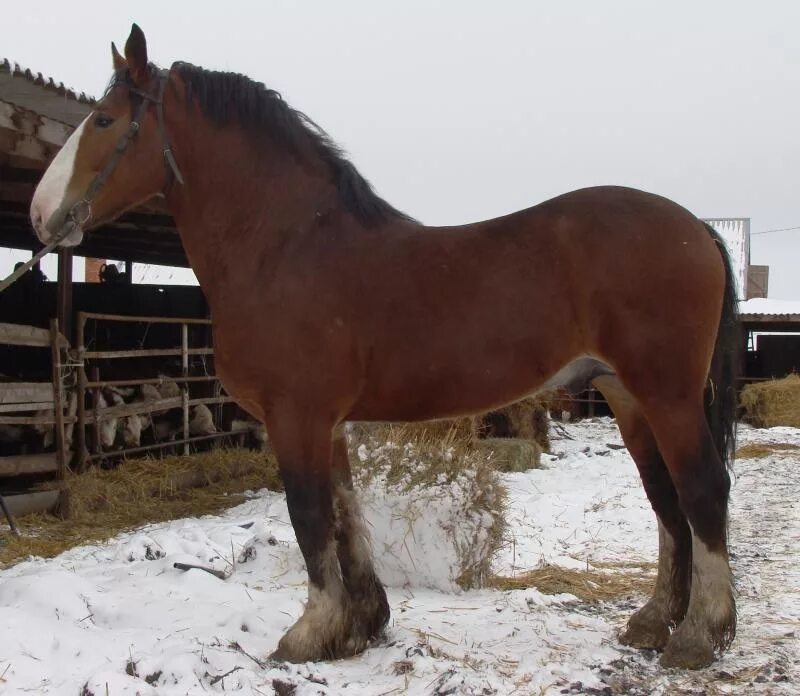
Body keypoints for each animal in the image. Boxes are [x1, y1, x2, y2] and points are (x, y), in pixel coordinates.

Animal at [34, 25, 740, 668]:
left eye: (104, 120)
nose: (41, 216)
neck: (286, 248)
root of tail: (696, 229)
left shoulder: (296, 417)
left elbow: (310, 516)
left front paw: (310, 634)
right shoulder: (327, 423)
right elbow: (347, 516)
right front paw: (362, 625)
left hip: (667, 393)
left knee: (702, 489)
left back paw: (700, 634)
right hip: (627, 394)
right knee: (665, 498)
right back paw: (652, 622)